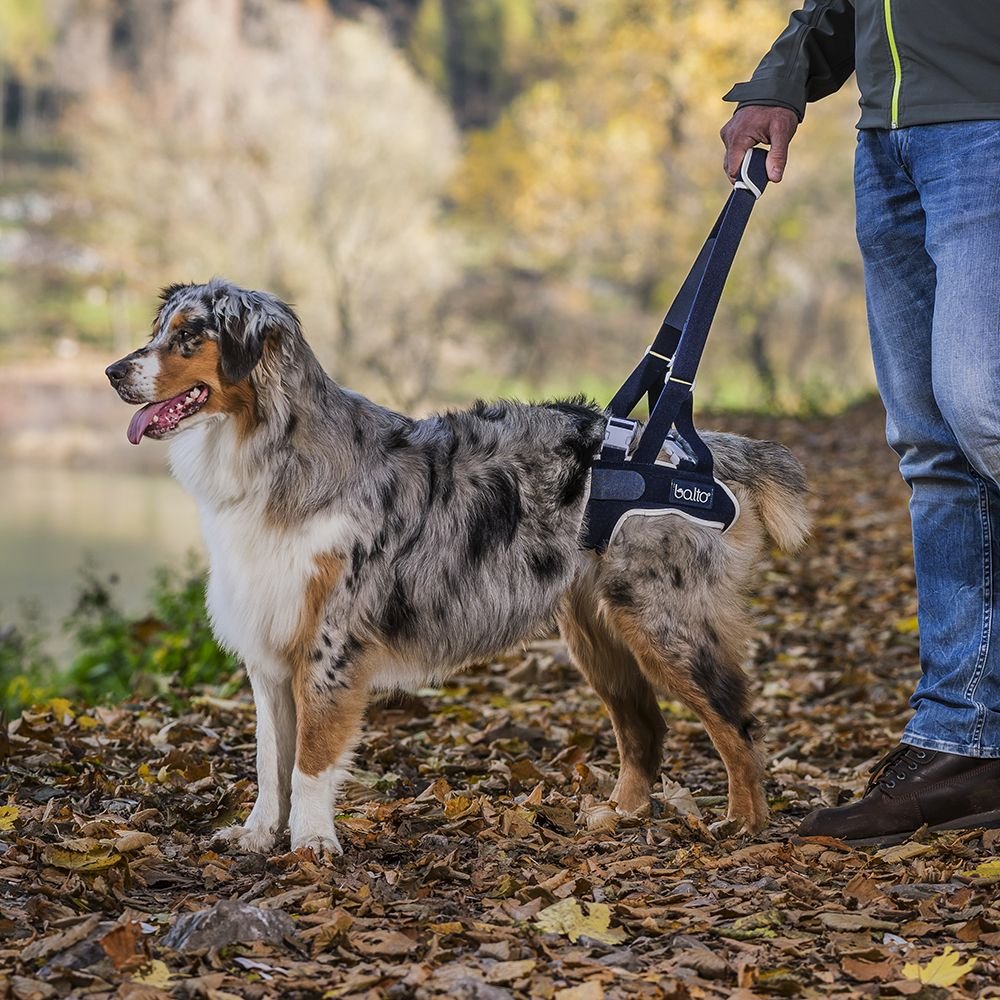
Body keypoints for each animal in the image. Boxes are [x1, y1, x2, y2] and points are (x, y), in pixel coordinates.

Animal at [105, 278, 808, 856]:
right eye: (158, 330)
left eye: (189, 336)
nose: (112, 372)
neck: (277, 454)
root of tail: (705, 449)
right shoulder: (270, 646)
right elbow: (270, 760)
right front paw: (258, 835)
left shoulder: (330, 646)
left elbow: (309, 761)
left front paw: (310, 845)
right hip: (597, 632)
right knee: (646, 727)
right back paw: (619, 816)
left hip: (666, 624)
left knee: (737, 721)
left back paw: (743, 825)